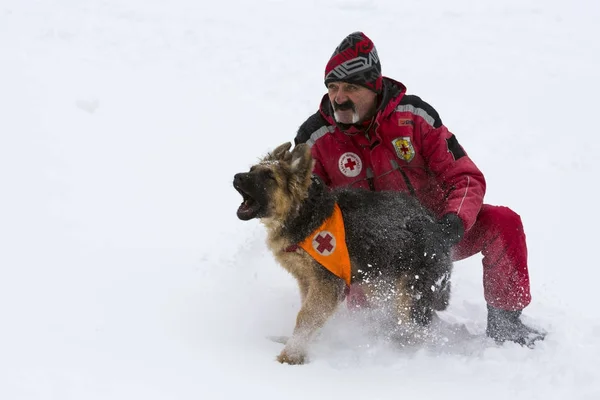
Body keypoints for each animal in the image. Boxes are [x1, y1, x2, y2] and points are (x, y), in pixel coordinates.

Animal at [232, 142, 452, 364]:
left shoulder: (328, 282)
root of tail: (440, 231)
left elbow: (306, 316)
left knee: (416, 329)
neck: (306, 213)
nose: (237, 176)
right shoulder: (307, 280)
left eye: (269, 176)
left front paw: (290, 355)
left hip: (410, 294)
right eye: (252, 170)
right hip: (380, 285)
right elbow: (310, 314)